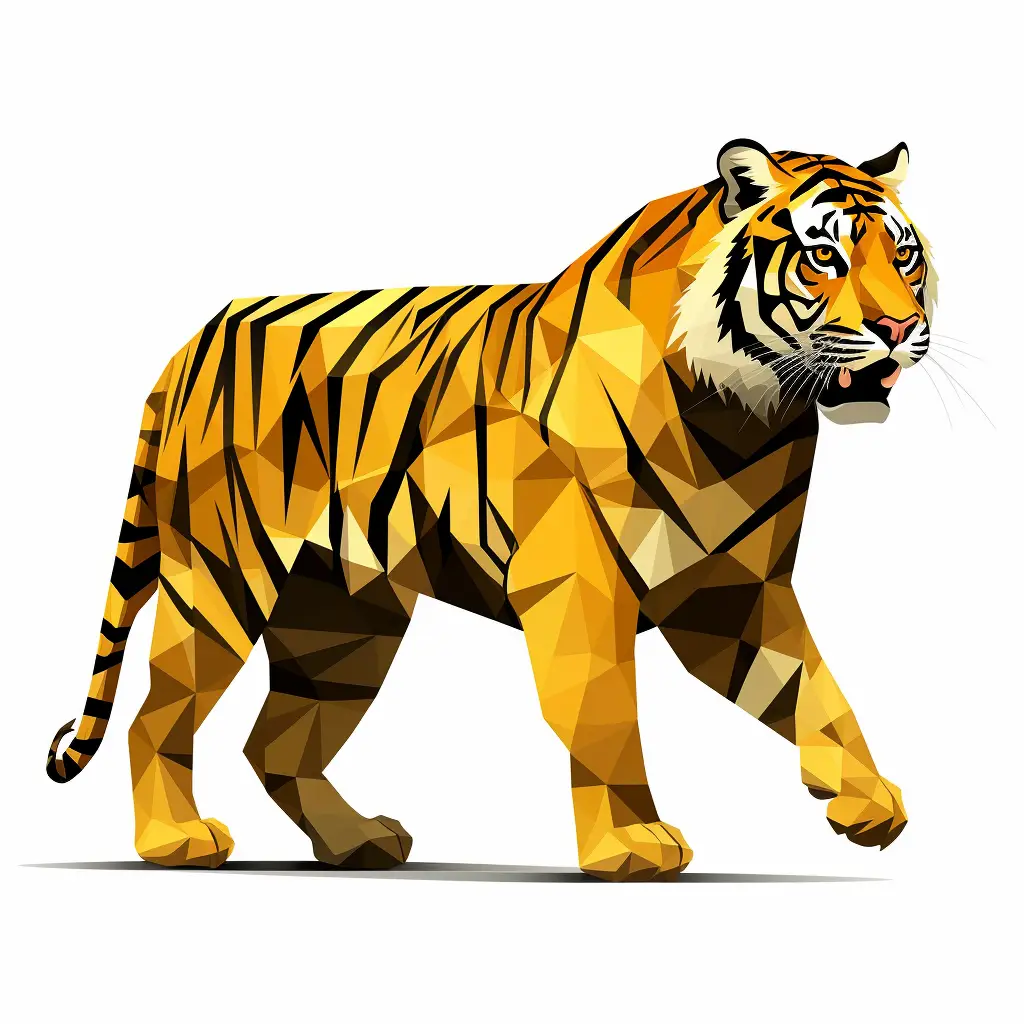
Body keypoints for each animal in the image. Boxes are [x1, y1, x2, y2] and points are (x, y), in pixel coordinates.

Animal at [46, 139, 931, 880]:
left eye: (905, 256)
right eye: (824, 256)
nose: (900, 327)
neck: (744, 413)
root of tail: (191, 341)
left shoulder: (736, 592)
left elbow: (820, 694)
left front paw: (870, 804)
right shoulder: (580, 583)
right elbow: (606, 713)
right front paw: (631, 846)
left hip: (343, 622)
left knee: (278, 745)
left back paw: (356, 842)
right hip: (223, 578)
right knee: (157, 716)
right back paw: (176, 841)